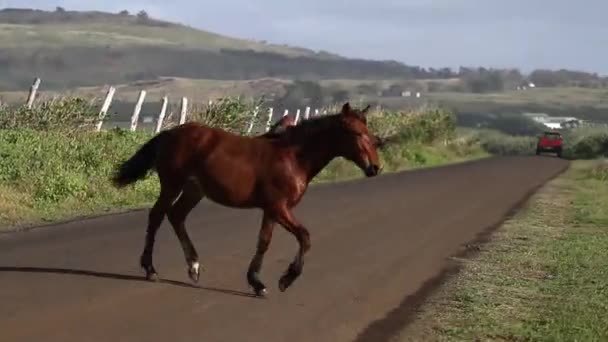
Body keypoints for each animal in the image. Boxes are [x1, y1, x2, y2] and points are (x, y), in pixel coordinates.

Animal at [111, 102, 382, 296]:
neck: (292, 157)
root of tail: (170, 133)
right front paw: (284, 280)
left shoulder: (272, 210)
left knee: (176, 215)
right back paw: (150, 269)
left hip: (194, 190)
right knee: (157, 216)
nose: (375, 168)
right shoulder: (278, 207)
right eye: (356, 132)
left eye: (370, 133)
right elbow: (304, 237)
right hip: (172, 184)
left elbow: (264, 242)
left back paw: (194, 267)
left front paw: (257, 283)